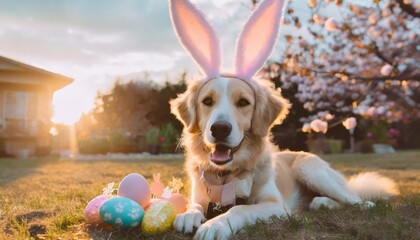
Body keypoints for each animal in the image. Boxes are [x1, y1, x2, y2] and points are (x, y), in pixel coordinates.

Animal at [167, 0, 398, 238]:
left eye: (243, 102)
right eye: (207, 101)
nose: (220, 129)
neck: (226, 177)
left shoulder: (275, 205)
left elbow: (240, 209)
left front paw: (216, 225)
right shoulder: (200, 193)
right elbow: (194, 205)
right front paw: (189, 215)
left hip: (310, 169)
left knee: (356, 201)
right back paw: (320, 203)